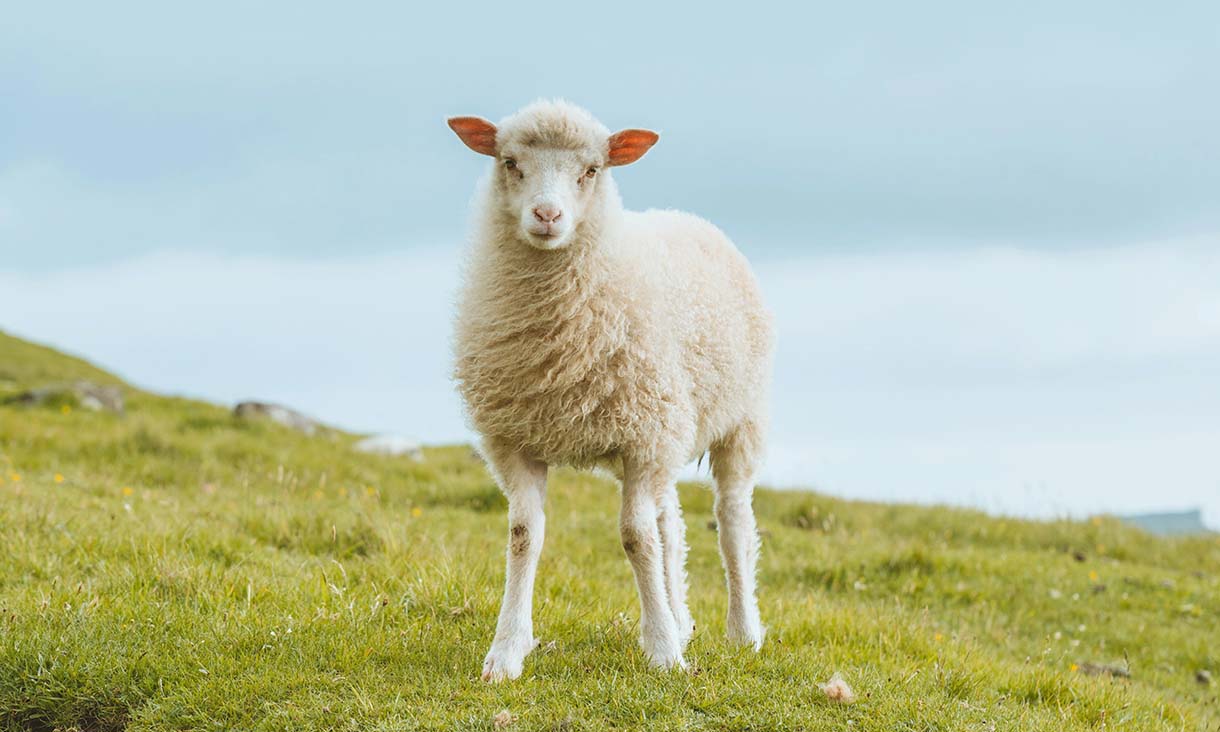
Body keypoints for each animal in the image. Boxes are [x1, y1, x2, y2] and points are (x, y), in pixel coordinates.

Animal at [448, 100, 774, 681]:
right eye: (510, 162)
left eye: (592, 170)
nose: (547, 215)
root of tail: (686, 216)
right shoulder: (515, 440)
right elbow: (524, 535)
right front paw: (506, 652)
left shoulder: (643, 439)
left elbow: (634, 538)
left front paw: (663, 653)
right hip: (668, 425)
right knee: (672, 523)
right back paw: (681, 618)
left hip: (737, 420)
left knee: (732, 521)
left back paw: (742, 631)